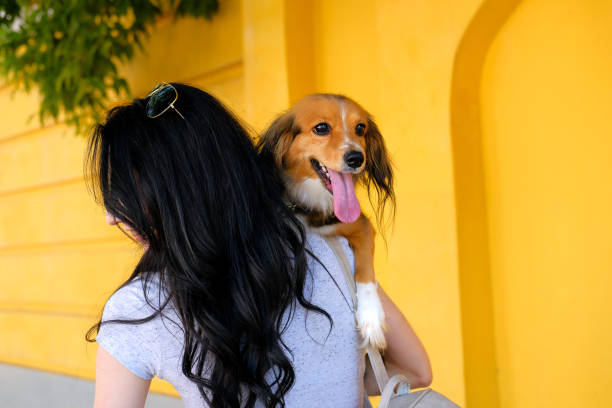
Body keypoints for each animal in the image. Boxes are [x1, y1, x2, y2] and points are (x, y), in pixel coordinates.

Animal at [256, 94, 392, 350]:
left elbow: (365, 271)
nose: (356, 158)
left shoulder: (359, 225)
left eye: (360, 128)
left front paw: (371, 317)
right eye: (321, 128)